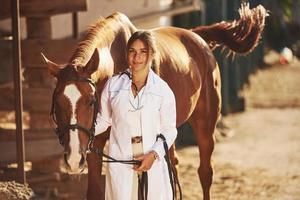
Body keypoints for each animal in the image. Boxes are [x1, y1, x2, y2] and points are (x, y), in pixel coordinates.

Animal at [42, 3, 268, 200]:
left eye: (90, 101)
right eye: (57, 103)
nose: (72, 160)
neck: (118, 60)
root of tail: (197, 38)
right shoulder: (92, 143)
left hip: (205, 124)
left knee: (205, 172)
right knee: (172, 167)